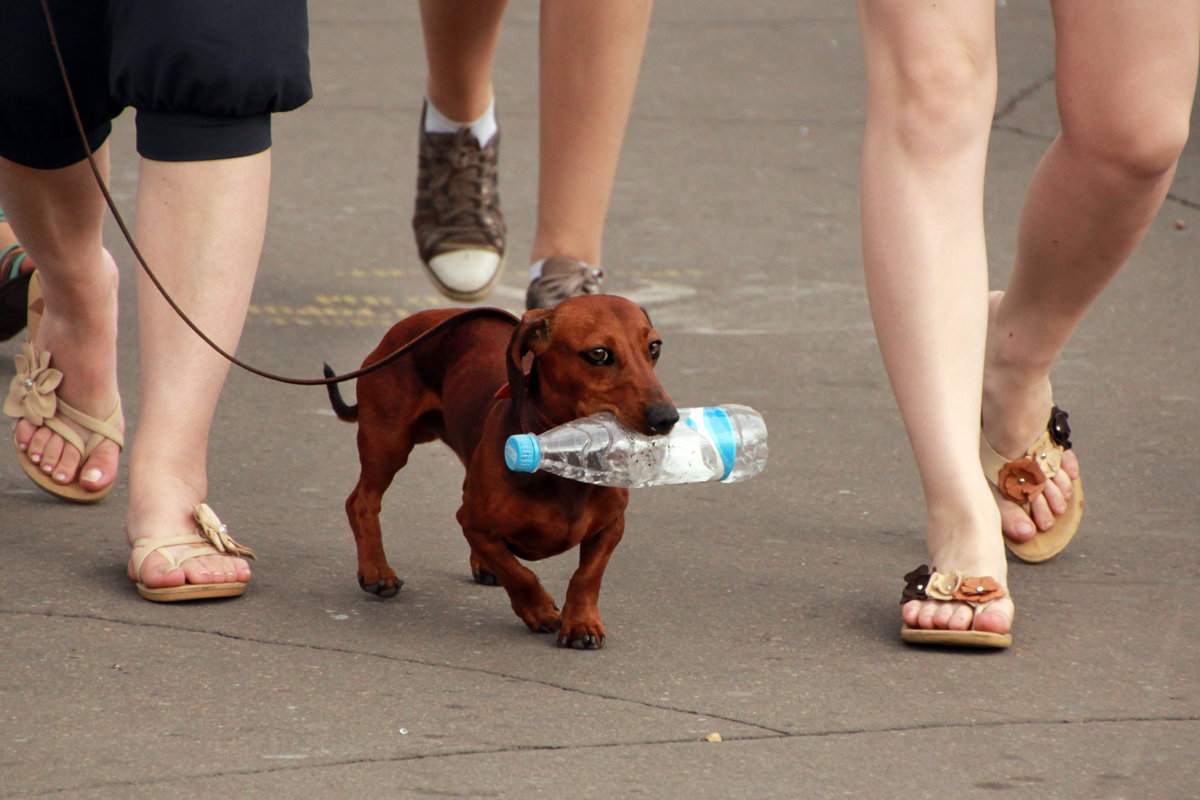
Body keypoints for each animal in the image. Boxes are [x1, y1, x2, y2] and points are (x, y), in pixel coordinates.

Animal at [326, 293, 676, 652]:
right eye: (599, 354)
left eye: (654, 347)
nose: (667, 417)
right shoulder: (473, 524)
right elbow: (520, 575)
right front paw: (541, 611)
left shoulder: (611, 526)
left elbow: (587, 576)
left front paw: (581, 623)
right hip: (388, 440)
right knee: (361, 502)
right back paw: (376, 571)